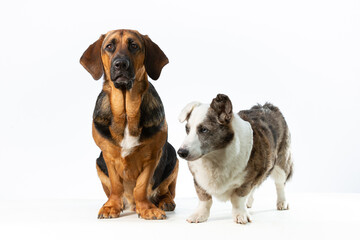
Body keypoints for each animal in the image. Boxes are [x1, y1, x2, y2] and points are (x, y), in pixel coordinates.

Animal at [80, 29, 179, 219]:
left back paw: (165, 201)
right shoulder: (107, 156)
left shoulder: (153, 155)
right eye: (109, 46)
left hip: (172, 156)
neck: (126, 113)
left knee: (166, 190)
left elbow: (141, 186)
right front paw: (112, 206)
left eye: (134, 45)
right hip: (98, 162)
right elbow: (116, 185)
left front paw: (147, 208)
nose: (120, 64)